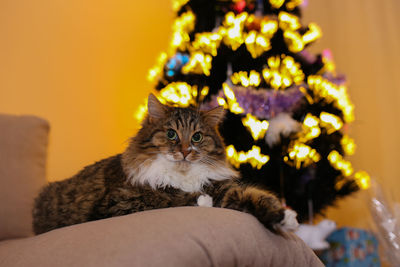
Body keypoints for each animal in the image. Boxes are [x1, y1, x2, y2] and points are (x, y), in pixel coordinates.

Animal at [32, 93, 298, 234]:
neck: (183, 176)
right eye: (171, 134)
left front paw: (285, 217)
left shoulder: (223, 188)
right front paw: (200, 200)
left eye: (197, 137)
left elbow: (256, 195)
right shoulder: (118, 202)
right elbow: (168, 197)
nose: (184, 151)